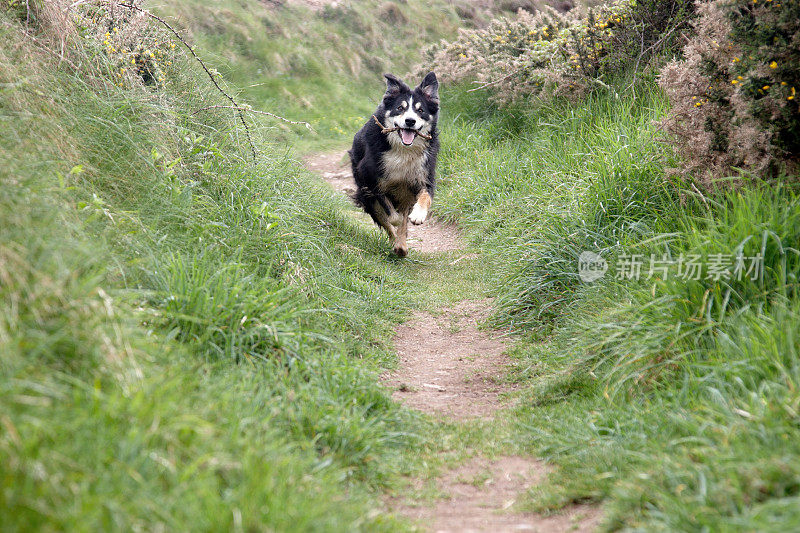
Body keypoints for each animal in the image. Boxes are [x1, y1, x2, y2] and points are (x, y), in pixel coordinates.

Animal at [348, 71, 440, 258]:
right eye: (400, 108)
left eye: (420, 110)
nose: (410, 121)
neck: (403, 151)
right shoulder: (372, 181)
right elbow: (392, 217)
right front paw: (396, 224)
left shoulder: (423, 175)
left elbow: (425, 197)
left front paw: (418, 215)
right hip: (367, 195)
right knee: (386, 222)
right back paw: (395, 243)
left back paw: (401, 246)